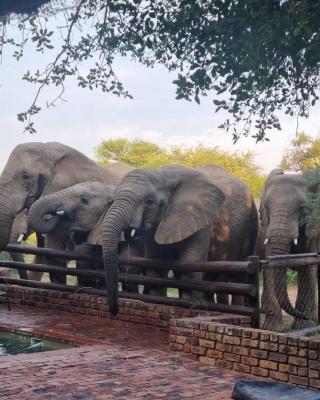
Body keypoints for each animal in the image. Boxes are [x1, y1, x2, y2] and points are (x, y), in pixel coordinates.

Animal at [101, 164, 258, 314]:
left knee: (236, 275)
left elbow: (191, 264)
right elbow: (156, 266)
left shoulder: (199, 217)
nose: (115, 312)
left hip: (250, 226)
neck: (165, 174)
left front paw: (192, 307)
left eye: (149, 202)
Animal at [258, 167, 318, 330]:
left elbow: (307, 263)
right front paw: (273, 328)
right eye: (266, 208)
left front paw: (304, 326)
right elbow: (270, 261)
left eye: (303, 208)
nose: (303, 315)